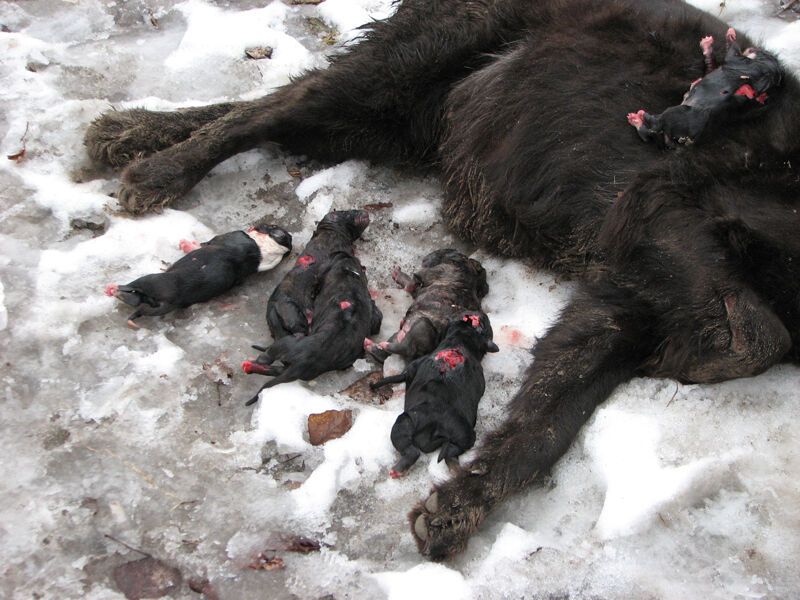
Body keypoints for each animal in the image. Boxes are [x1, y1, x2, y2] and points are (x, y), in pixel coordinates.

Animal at [104, 224, 292, 326]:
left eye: (272, 226)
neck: (265, 248)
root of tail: (172, 300)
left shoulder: (217, 239)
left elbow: (200, 244)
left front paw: (186, 244)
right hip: (154, 303)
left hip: (150, 280)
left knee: (132, 290)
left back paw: (113, 290)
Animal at [242, 251, 382, 406]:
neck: (350, 271)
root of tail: (303, 362)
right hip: (296, 368)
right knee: (273, 369)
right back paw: (249, 367)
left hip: (286, 344)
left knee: (266, 359)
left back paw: (250, 363)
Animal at [370, 312, 496, 476]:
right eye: (487, 325)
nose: (482, 314)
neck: (461, 342)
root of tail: (435, 426)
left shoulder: (412, 367)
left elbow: (397, 374)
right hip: (465, 433)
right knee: (452, 451)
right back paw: (458, 468)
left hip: (406, 421)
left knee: (411, 450)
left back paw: (397, 469)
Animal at [624, 29, 780, 148]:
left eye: (766, 54)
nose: (762, 49)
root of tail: (685, 138)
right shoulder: (716, 69)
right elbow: (710, 62)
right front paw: (707, 43)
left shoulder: (739, 62)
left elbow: (732, 49)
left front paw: (731, 34)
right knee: (651, 135)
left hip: (674, 115)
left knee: (654, 126)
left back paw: (638, 118)